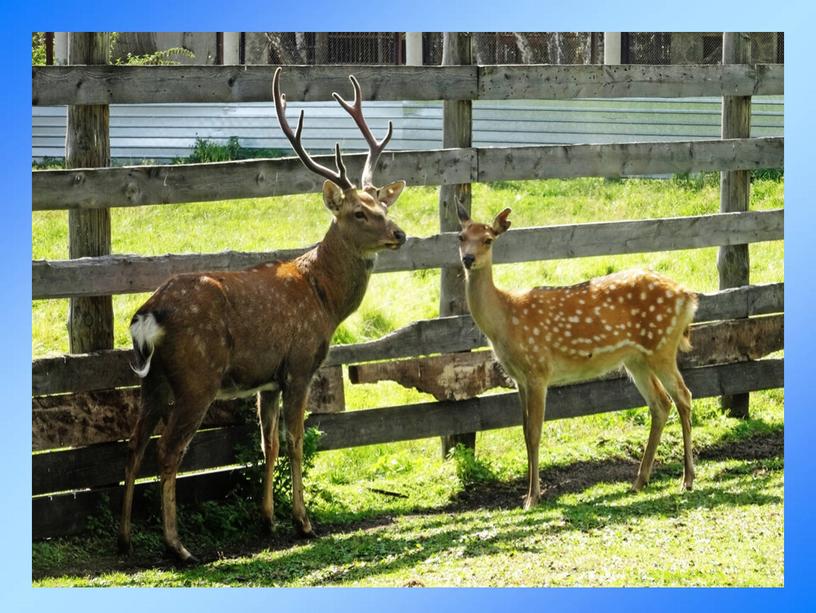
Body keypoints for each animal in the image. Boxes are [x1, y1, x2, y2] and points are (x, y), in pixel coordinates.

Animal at [118, 68, 408, 564]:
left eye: (384, 205)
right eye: (359, 212)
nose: (400, 233)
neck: (325, 299)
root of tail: (148, 315)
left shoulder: (266, 380)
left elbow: (267, 443)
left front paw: (268, 519)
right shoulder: (300, 363)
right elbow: (295, 441)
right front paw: (303, 522)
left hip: (153, 380)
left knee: (136, 444)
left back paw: (124, 538)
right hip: (197, 376)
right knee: (168, 451)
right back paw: (178, 547)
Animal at [456, 206, 700, 506]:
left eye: (488, 240)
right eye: (461, 237)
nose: (468, 259)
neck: (504, 321)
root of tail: (688, 297)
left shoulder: (538, 369)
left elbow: (534, 433)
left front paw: (532, 498)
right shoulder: (519, 378)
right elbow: (524, 431)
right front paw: (529, 493)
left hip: (662, 346)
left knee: (683, 396)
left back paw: (687, 479)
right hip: (636, 358)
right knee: (661, 403)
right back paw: (639, 481)